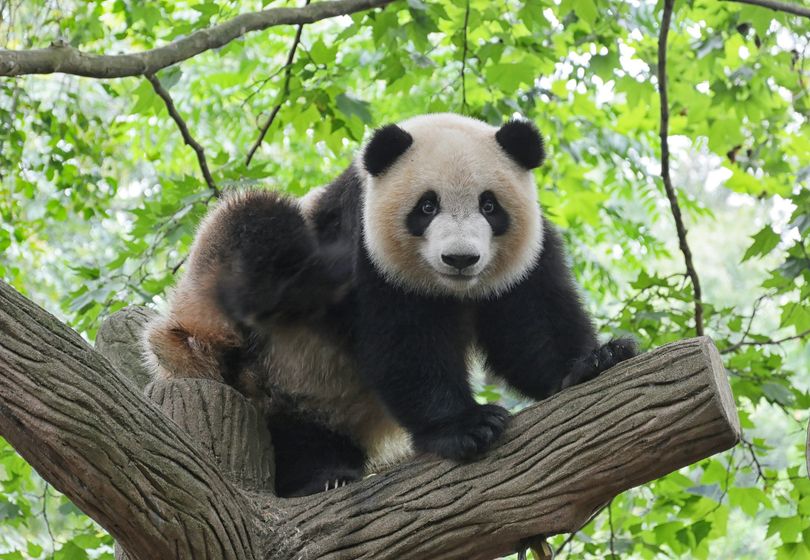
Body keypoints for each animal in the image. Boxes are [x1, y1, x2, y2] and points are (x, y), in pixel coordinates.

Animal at [143, 113, 637, 498]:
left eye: (490, 206)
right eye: (426, 206)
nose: (460, 259)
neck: (451, 290)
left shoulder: (524, 258)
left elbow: (530, 327)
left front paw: (595, 360)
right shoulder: (368, 253)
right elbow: (405, 344)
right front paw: (468, 426)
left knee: (304, 432)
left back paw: (326, 470)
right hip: (230, 328)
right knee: (254, 221)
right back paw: (319, 479)